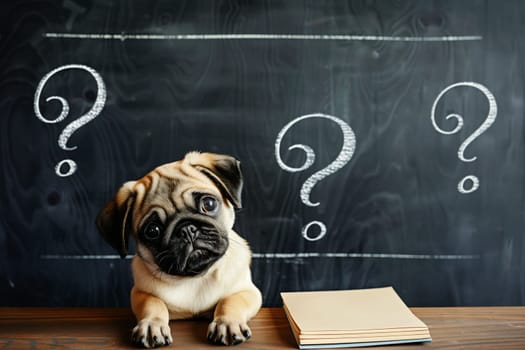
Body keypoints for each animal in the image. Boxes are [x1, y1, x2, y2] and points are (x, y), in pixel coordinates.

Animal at [95, 151, 262, 348]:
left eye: (209, 204)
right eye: (153, 231)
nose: (187, 229)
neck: (196, 278)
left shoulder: (248, 292)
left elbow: (230, 301)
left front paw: (227, 323)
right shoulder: (140, 293)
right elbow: (153, 304)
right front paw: (152, 325)